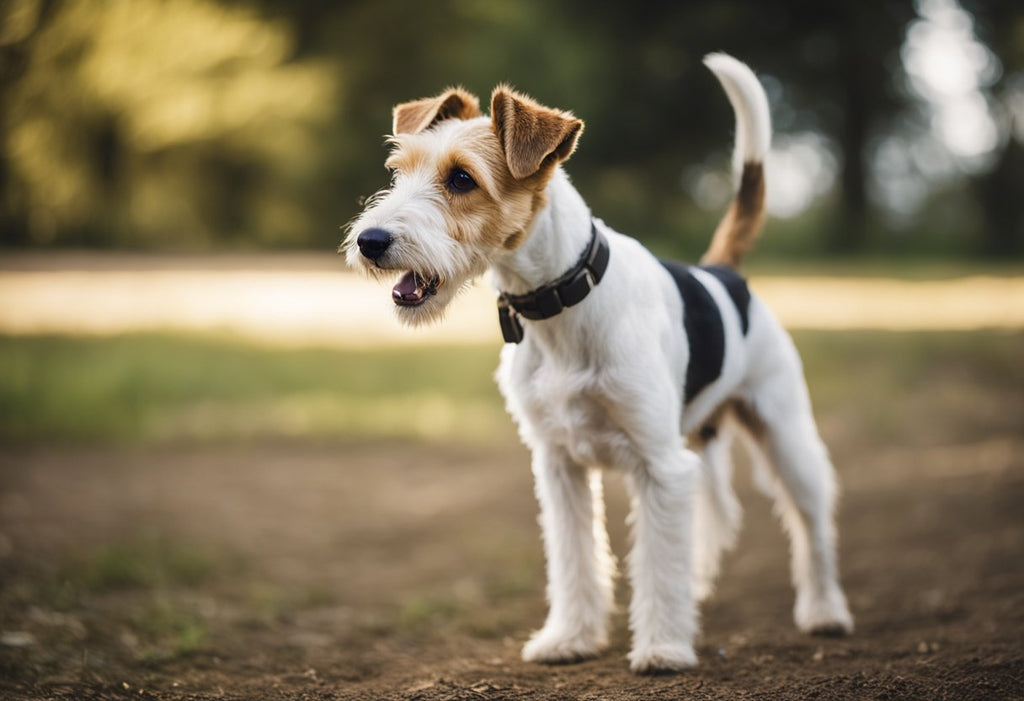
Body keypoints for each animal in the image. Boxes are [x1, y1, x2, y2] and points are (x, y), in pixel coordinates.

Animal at [339, 53, 851, 671]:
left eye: (462, 178)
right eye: (398, 170)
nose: (370, 241)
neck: (561, 302)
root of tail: (723, 271)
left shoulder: (659, 466)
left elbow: (656, 563)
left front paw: (662, 647)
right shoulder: (559, 466)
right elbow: (575, 559)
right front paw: (570, 638)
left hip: (784, 433)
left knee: (811, 522)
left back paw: (824, 611)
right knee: (715, 510)